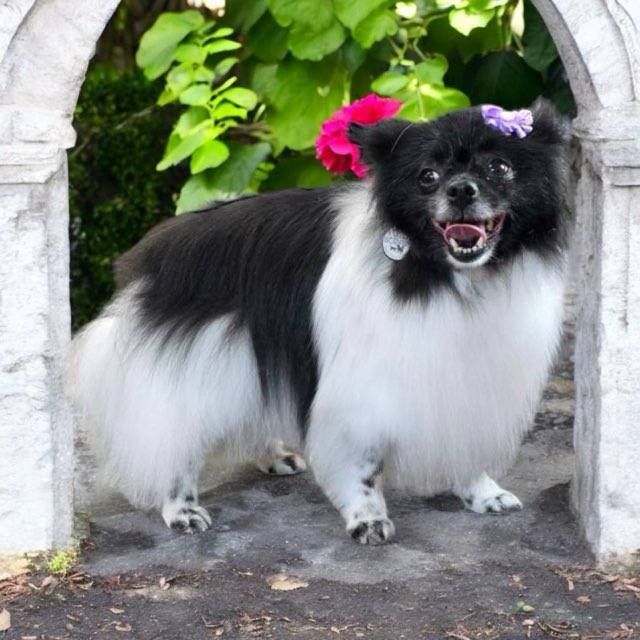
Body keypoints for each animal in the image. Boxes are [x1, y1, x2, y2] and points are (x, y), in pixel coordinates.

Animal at [66, 100, 568, 544]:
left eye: (500, 168)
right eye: (427, 177)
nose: (461, 189)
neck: (447, 277)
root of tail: (154, 257)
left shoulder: (464, 381)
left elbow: (464, 446)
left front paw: (481, 493)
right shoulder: (364, 392)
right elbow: (362, 469)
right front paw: (367, 518)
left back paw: (272, 457)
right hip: (201, 368)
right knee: (174, 442)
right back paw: (181, 507)